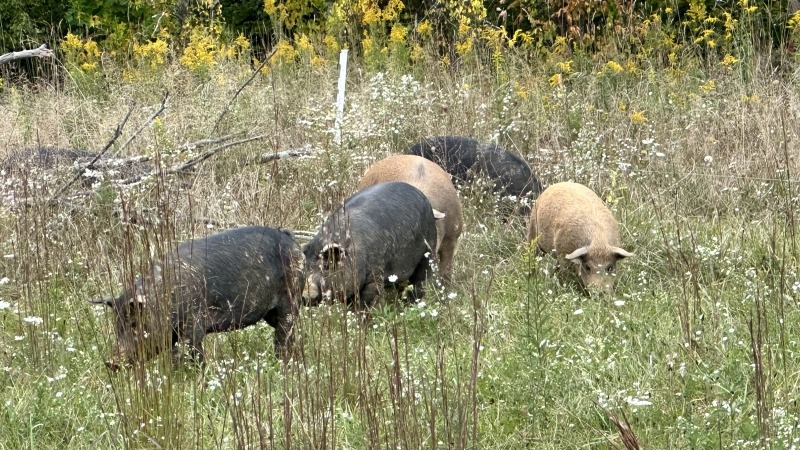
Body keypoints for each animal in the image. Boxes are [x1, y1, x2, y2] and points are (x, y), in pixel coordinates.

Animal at [90, 226, 303, 371]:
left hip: (290, 298)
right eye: (117, 325)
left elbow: (195, 354)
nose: (111, 362)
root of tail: (290, 239)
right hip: (270, 313)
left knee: (284, 334)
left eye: (134, 323)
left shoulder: (194, 324)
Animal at [302, 181, 444, 309]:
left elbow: (369, 301)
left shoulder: (375, 272)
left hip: (428, 249)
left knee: (422, 279)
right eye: (305, 268)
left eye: (326, 266)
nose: (305, 295)